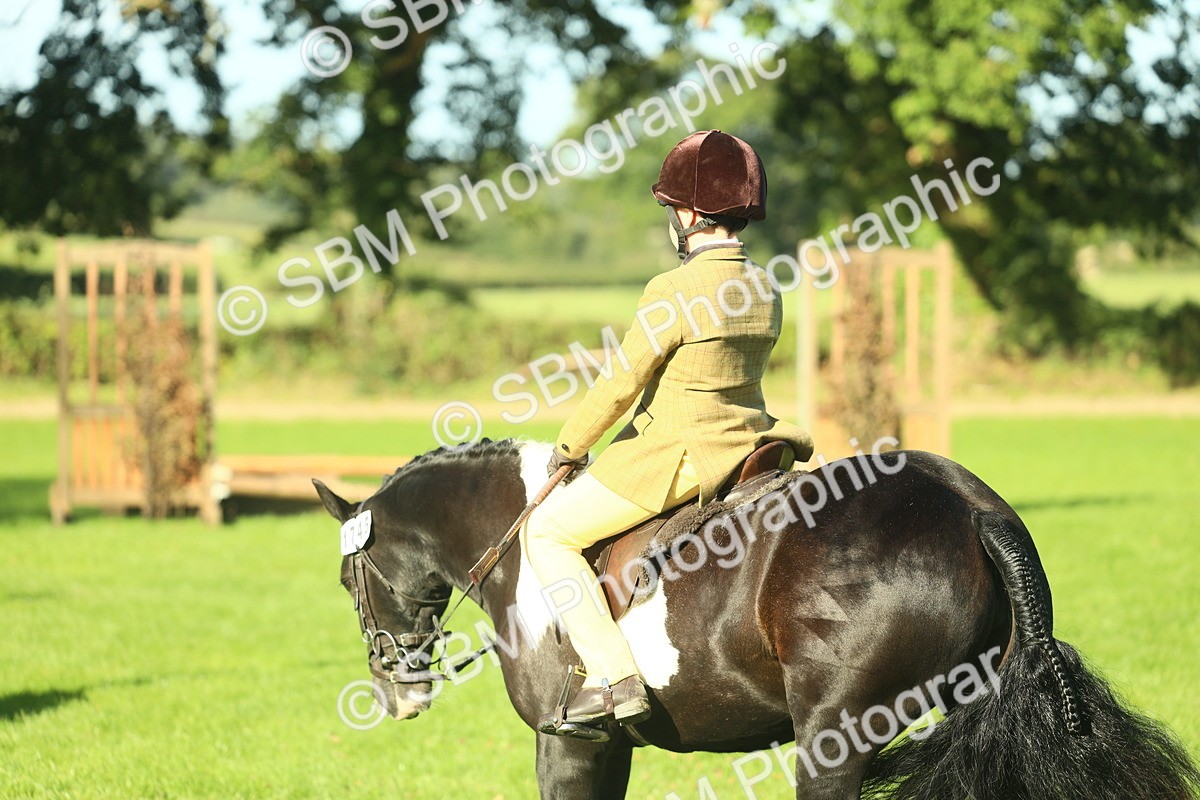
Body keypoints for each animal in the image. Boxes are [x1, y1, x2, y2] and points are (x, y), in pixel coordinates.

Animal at [314, 438, 1199, 799]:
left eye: (347, 578)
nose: (395, 691)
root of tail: (971, 505)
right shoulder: (609, 747)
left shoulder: (572, 741)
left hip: (836, 737)